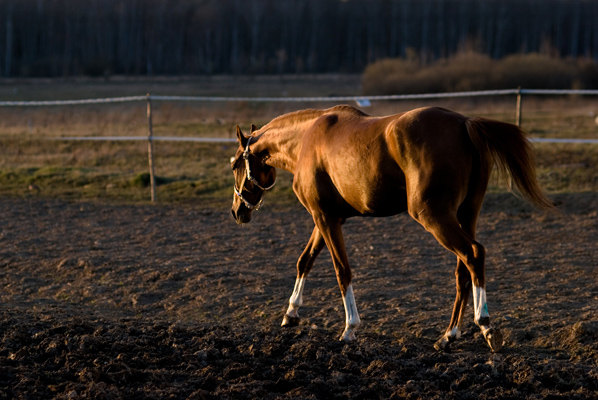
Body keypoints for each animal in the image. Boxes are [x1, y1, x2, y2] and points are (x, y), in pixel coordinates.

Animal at [231, 104, 552, 352]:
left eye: (234, 165)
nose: (237, 212)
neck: (307, 140)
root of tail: (464, 124)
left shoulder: (324, 218)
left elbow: (342, 270)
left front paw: (349, 328)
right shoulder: (327, 218)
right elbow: (305, 261)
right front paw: (291, 313)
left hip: (434, 216)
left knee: (473, 254)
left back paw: (484, 326)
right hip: (466, 215)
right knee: (464, 267)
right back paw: (448, 336)